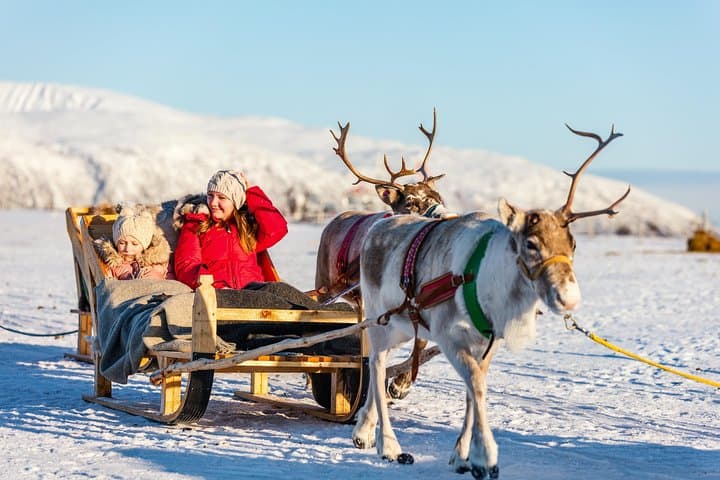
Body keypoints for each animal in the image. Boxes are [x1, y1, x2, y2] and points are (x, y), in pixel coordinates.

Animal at [314, 110, 453, 400]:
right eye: (410, 202)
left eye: (438, 196)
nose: (447, 215)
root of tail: (334, 220)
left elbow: (421, 340)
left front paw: (400, 385)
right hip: (324, 285)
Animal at [351, 124, 630, 479]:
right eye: (530, 244)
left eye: (573, 243)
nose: (569, 298)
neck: (490, 283)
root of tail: (378, 224)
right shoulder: (449, 335)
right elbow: (477, 385)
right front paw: (486, 458)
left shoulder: (488, 340)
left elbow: (474, 388)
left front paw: (461, 455)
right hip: (379, 318)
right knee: (375, 365)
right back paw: (387, 445)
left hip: (400, 327)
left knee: (381, 364)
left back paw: (364, 432)